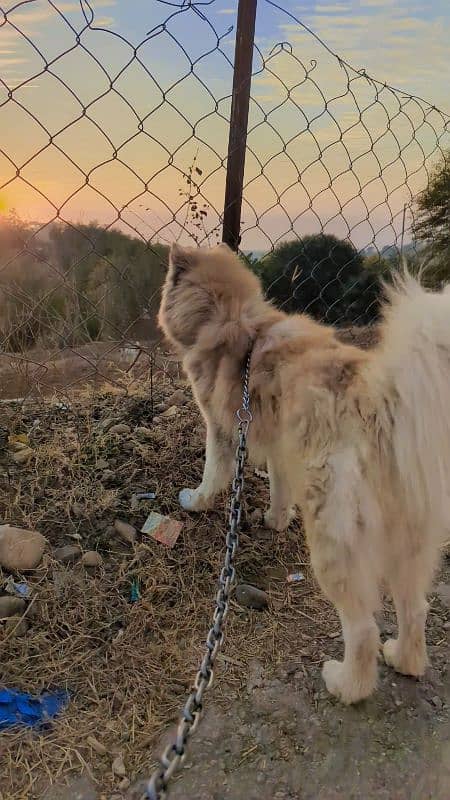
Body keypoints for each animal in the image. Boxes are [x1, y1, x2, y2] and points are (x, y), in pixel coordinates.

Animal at [159, 241, 450, 704]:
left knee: (363, 629)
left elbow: (212, 474)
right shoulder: (279, 444)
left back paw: (346, 684)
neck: (231, 316)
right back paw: (404, 660)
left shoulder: (221, 430)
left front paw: (195, 502)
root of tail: (381, 404)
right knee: (414, 608)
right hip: (410, 543)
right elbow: (279, 490)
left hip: (335, 544)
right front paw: (275, 521)